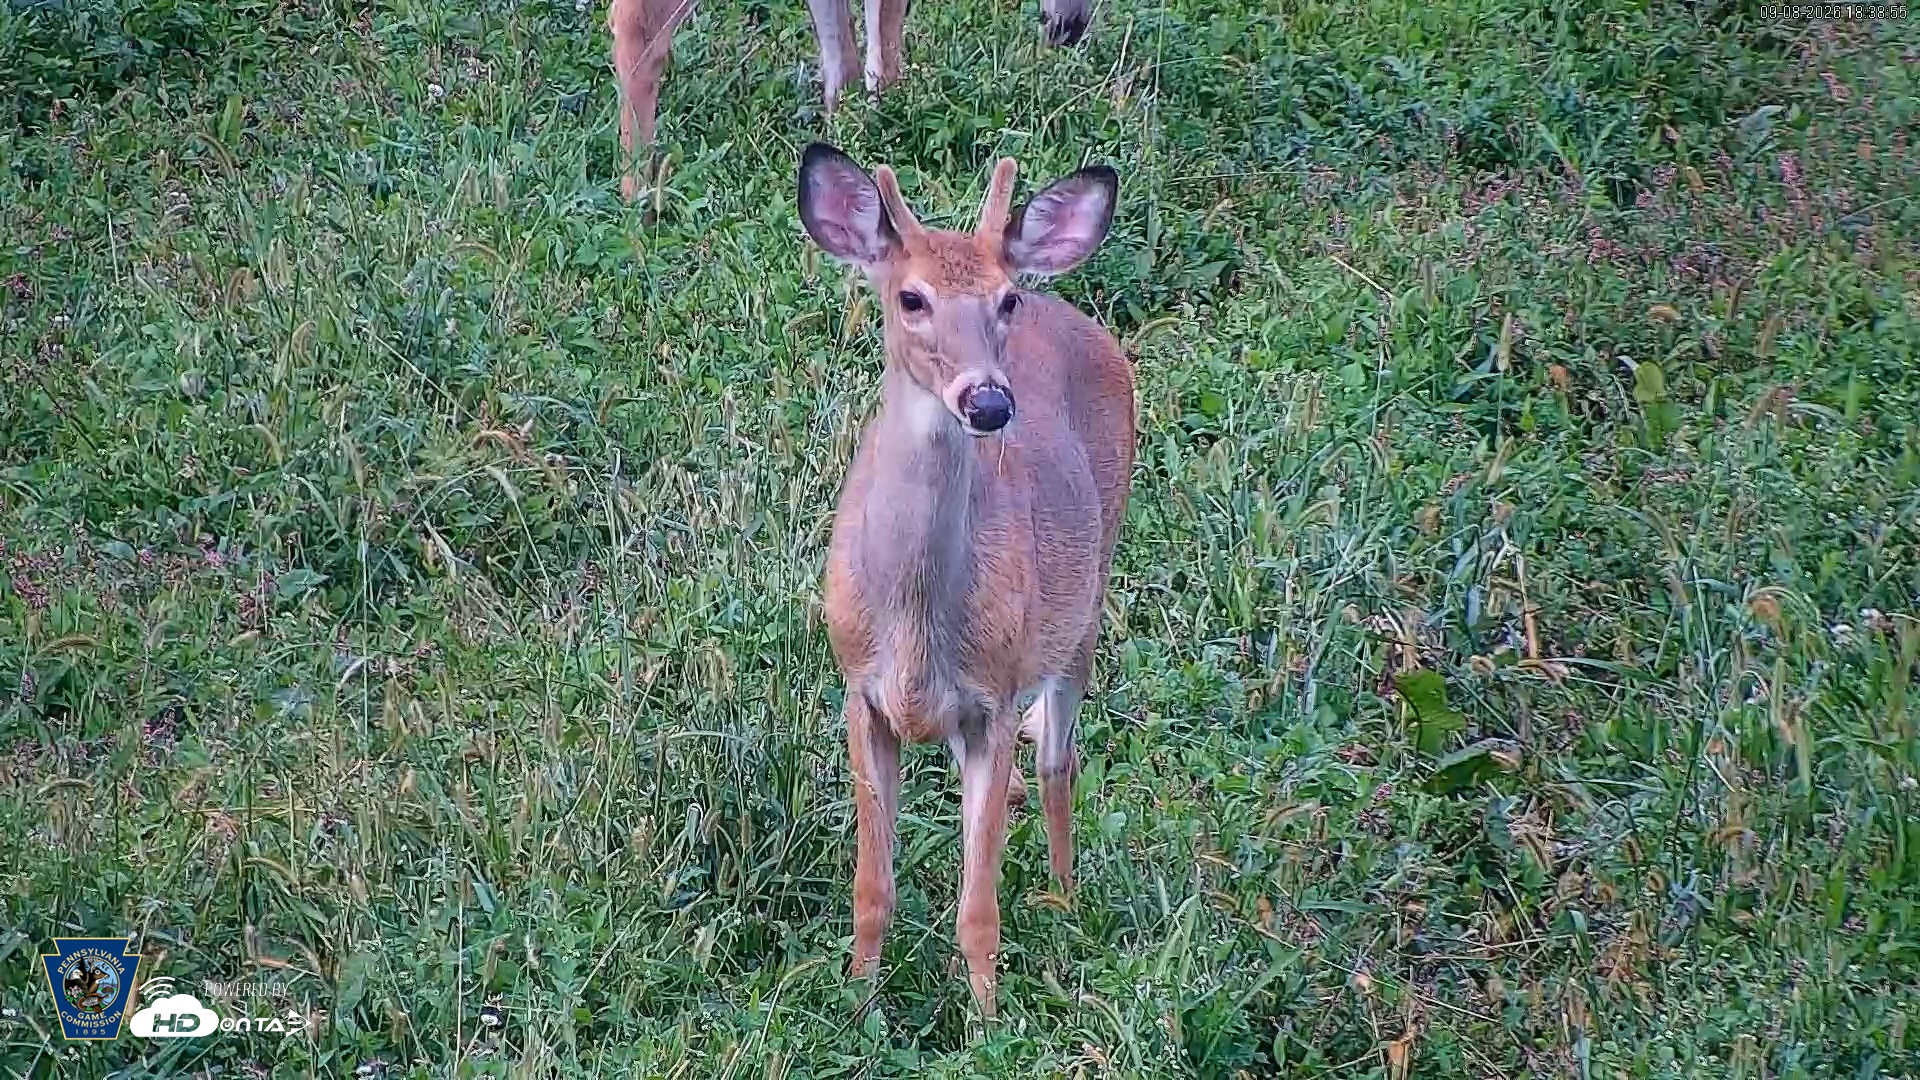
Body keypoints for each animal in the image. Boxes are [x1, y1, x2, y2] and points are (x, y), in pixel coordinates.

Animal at [796, 141, 1134, 1017]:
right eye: (910, 297)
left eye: (1003, 299)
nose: (987, 401)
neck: (917, 624)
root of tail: (1071, 309)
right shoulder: (860, 691)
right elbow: (871, 884)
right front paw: (859, 998)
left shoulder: (996, 697)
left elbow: (977, 901)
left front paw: (986, 1016)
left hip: (1085, 602)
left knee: (1058, 761)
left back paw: (1063, 897)